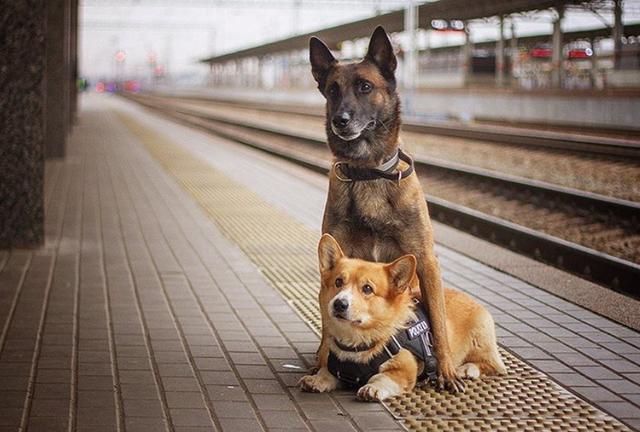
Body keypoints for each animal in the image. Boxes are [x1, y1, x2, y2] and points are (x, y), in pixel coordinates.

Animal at [298, 236, 504, 402]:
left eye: (367, 288)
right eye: (338, 282)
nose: (339, 304)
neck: (355, 341)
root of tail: (470, 298)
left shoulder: (404, 371)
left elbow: (382, 377)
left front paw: (372, 388)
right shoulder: (336, 367)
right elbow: (326, 372)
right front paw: (316, 379)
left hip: (480, 339)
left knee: (494, 365)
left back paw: (466, 369)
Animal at [310, 26, 464, 392]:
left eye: (365, 87)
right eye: (333, 90)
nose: (340, 120)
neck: (368, 171)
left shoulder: (426, 261)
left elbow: (438, 321)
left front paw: (446, 371)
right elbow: (327, 326)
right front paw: (323, 366)